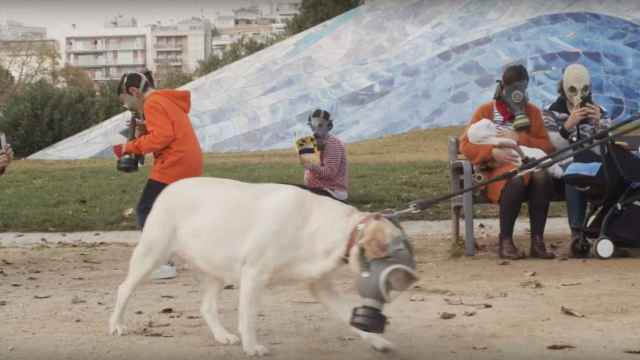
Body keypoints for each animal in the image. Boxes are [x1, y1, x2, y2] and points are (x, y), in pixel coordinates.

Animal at [110, 176, 416, 354]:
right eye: (399, 252)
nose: (413, 279)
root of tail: (171, 186)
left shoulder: (320, 286)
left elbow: (348, 315)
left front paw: (377, 340)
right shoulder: (253, 273)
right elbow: (249, 317)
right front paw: (252, 347)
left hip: (217, 268)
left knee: (206, 306)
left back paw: (222, 336)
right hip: (152, 253)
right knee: (124, 288)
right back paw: (116, 325)